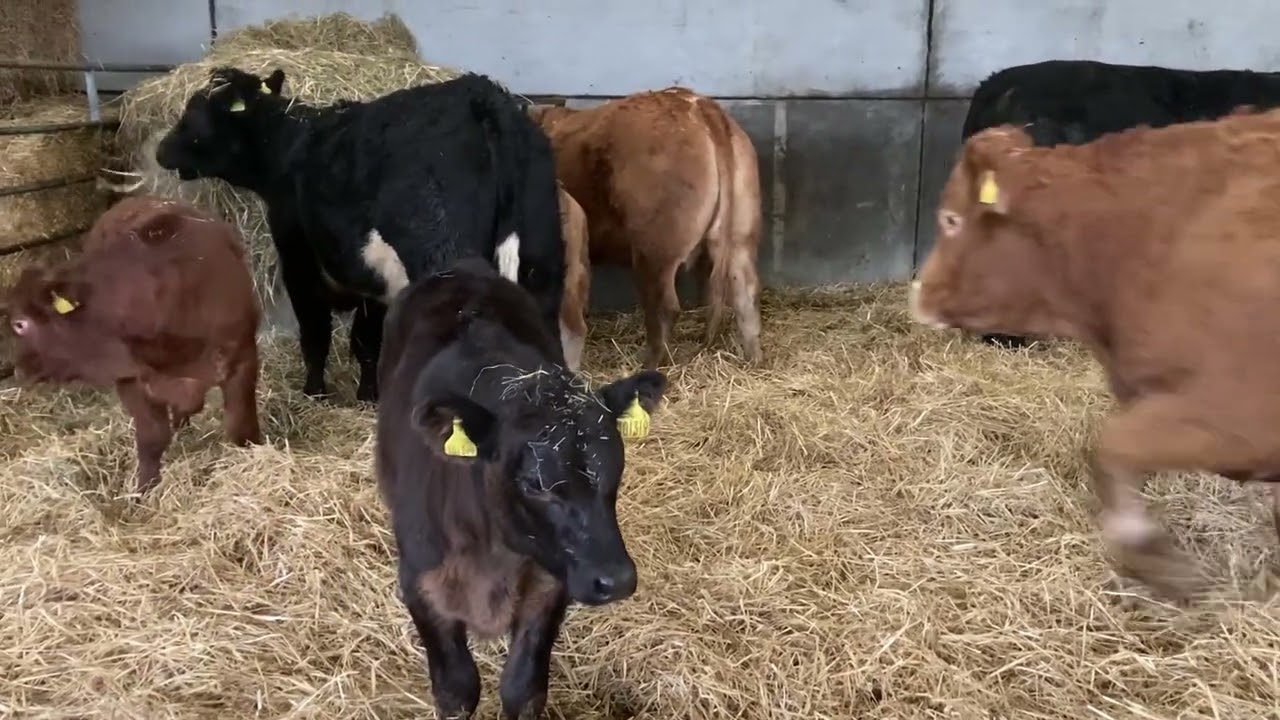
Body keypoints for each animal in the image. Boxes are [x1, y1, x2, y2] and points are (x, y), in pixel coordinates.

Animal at [4, 195, 263, 493]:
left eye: (19, 324)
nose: (18, 371)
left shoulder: (241, 358)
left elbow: (240, 427)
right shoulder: (131, 381)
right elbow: (152, 439)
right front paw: (144, 490)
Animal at [154, 66, 566, 404]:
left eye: (193, 115)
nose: (161, 150)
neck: (294, 145)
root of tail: (481, 95)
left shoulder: (298, 263)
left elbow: (316, 336)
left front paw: (314, 394)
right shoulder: (375, 284)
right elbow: (367, 342)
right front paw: (369, 396)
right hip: (541, 263)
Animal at [375, 256, 667, 719]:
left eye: (616, 469)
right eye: (534, 482)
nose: (616, 579)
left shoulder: (549, 588)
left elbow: (523, 689)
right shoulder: (421, 585)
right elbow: (456, 689)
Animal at [528, 87, 763, 369]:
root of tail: (696, 104)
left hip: (653, 248)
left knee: (664, 309)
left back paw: (648, 365)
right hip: (741, 233)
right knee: (745, 294)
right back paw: (754, 360)